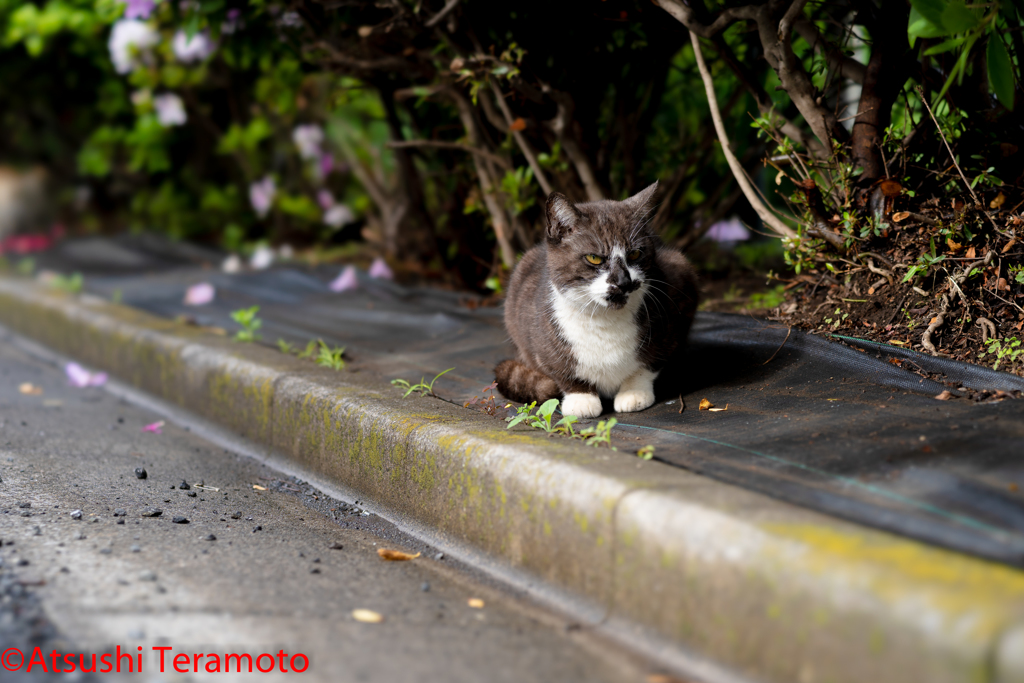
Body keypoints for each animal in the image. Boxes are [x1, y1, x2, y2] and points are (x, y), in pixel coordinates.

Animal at [493, 181, 700, 419]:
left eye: (635, 254)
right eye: (594, 258)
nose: (623, 281)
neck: (604, 319)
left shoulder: (677, 303)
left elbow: (648, 365)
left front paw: (634, 393)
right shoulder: (537, 338)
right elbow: (562, 371)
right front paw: (581, 400)